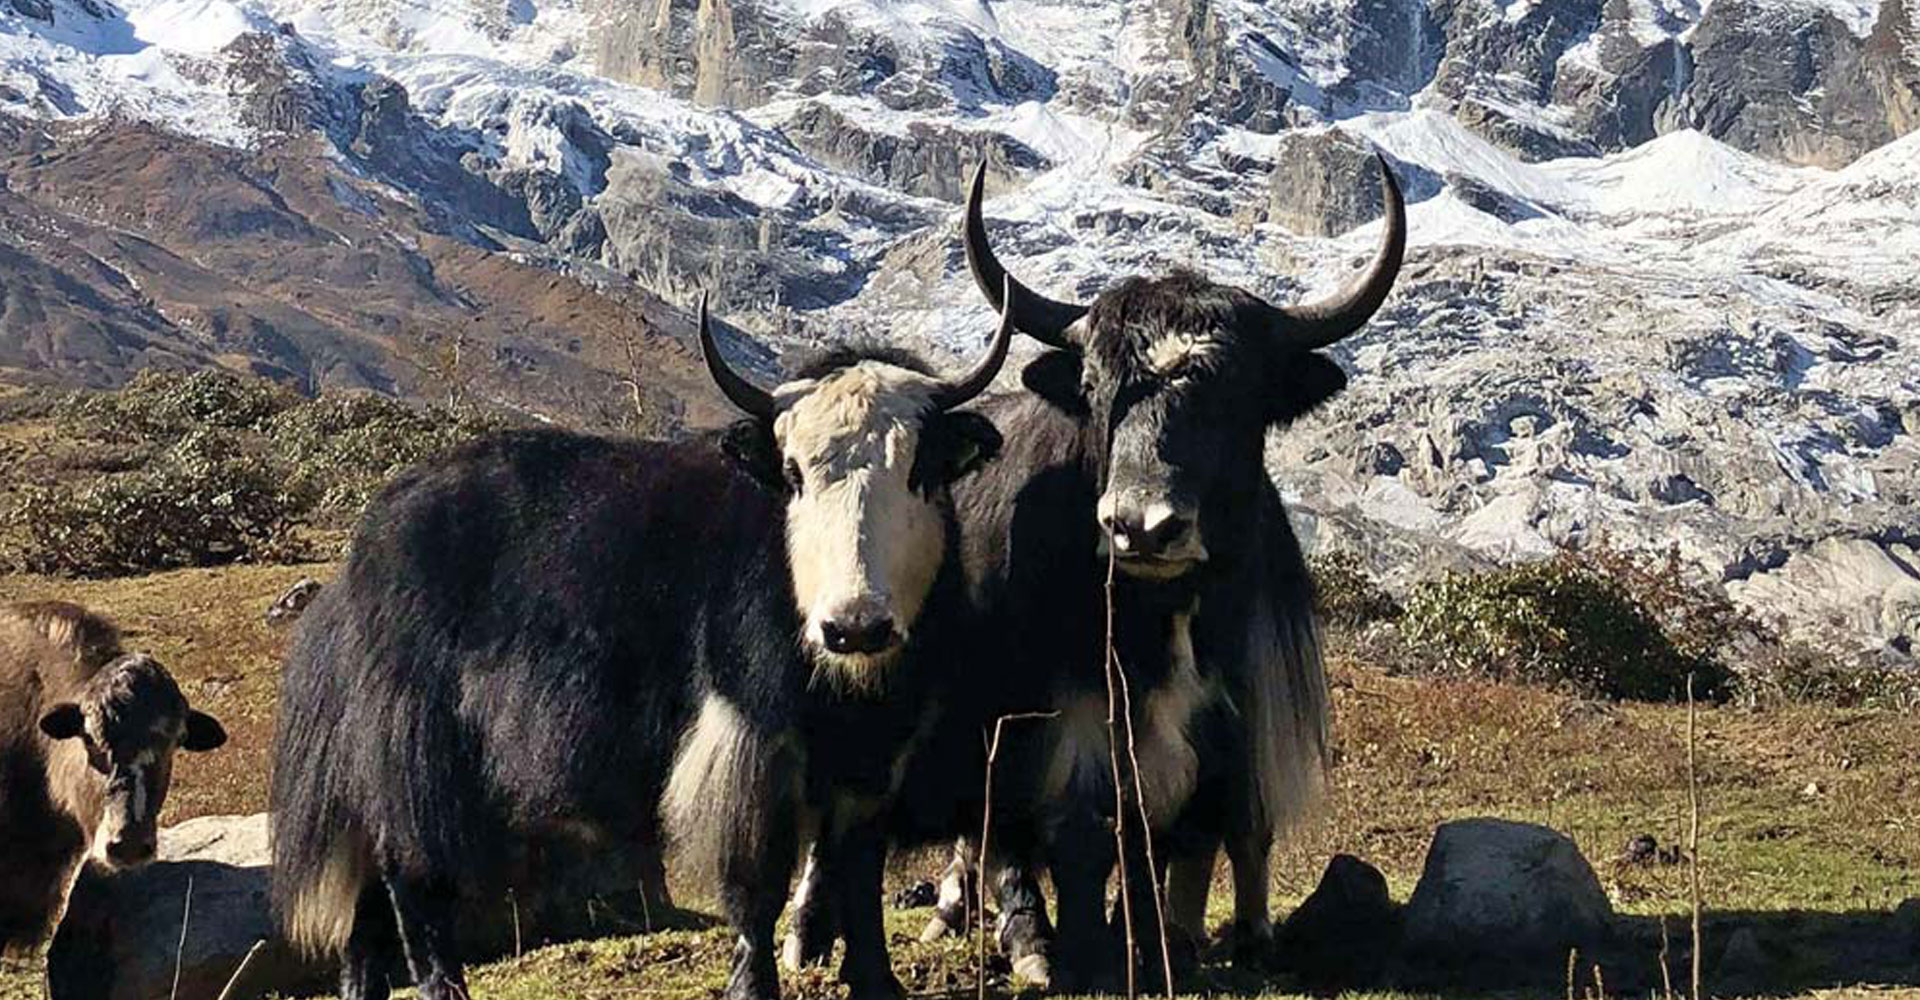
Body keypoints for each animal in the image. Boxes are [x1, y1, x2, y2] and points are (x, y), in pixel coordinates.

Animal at [268, 295, 1016, 1000]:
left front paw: (877, 982)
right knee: (414, 880)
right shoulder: (752, 740)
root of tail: (359, 560)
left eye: (918, 470)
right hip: (422, 757)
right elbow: (757, 882)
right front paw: (752, 986)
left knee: (368, 899)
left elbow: (856, 873)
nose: (854, 627)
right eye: (796, 473)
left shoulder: (874, 757)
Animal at [784, 158, 1405, 990]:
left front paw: (1165, 944)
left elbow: (1183, 838)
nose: (1140, 526)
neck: (1163, 612)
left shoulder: (1220, 725)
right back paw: (823, 936)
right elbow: (1058, 832)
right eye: (1097, 388)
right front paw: (1056, 950)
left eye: (1237, 395)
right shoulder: (1044, 713)